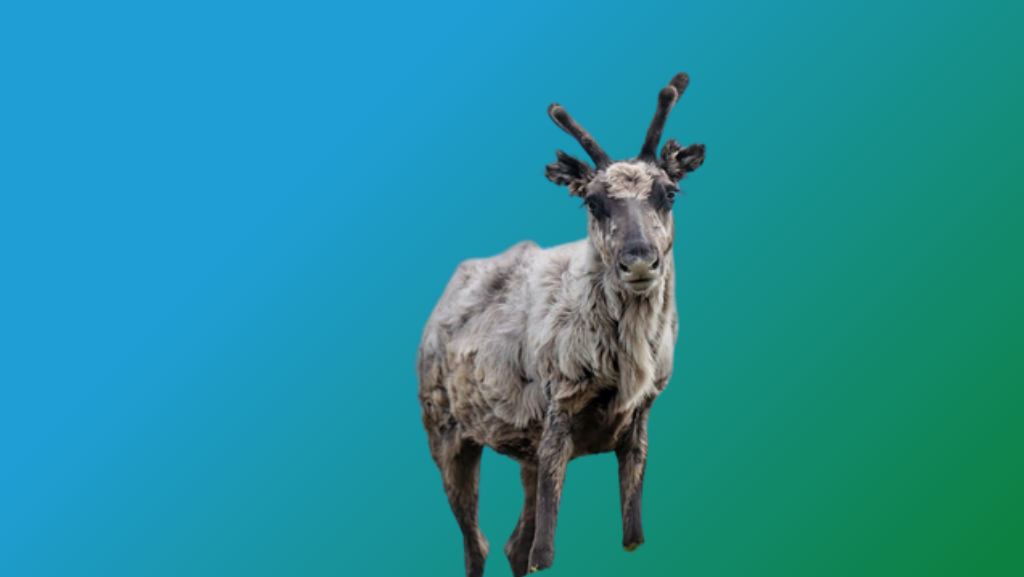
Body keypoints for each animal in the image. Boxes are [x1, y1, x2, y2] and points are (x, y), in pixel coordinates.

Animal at [417, 72, 706, 577]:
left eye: (669, 192)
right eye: (592, 201)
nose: (638, 260)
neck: (627, 364)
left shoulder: (638, 421)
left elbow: (631, 536)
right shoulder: (561, 409)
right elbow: (545, 553)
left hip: (523, 450)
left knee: (513, 544)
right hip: (446, 433)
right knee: (478, 545)